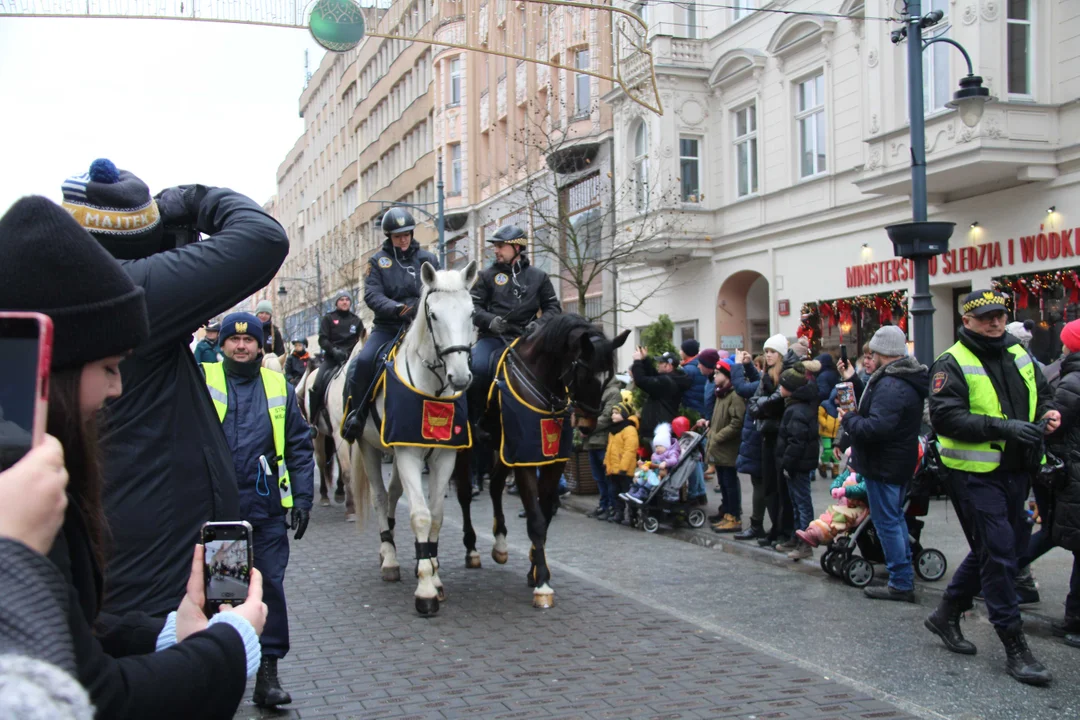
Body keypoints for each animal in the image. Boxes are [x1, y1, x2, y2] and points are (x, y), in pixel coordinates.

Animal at [352, 262, 479, 617]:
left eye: (472, 312)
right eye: (433, 314)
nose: (460, 377)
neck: (431, 388)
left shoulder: (443, 456)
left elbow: (435, 515)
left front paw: (433, 574)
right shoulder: (408, 453)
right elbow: (420, 515)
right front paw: (425, 590)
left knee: (394, 495)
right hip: (369, 448)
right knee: (381, 498)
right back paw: (389, 559)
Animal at [451, 315, 630, 608]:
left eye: (609, 378)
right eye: (584, 375)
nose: (587, 425)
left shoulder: (550, 460)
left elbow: (545, 517)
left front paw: (535, 569)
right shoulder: (525, 458)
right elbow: (535, 520)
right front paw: (543, 584)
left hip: (504, 450)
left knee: (495, 486)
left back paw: (500, 545)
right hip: (468, 448)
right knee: (465, 494)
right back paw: (471, 549)